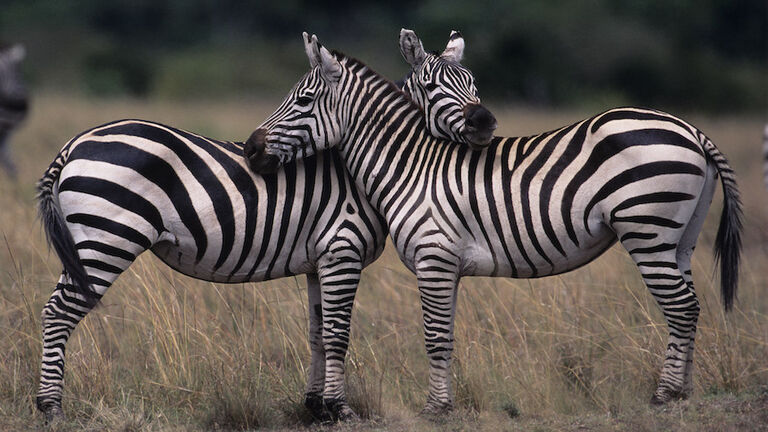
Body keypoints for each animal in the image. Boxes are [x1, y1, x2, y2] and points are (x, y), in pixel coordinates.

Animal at [33, 32, 496, 424]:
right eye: (433, 89)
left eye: (474, 83)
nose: (486, 123)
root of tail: (75, 143)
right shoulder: (342, 251)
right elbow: (338, 333)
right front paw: (340, 410)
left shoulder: (319, 261)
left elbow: (317, 334)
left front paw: (314, 407)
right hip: (106, 239)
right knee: (59, 312)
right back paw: (51, 406)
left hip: (89, 242)